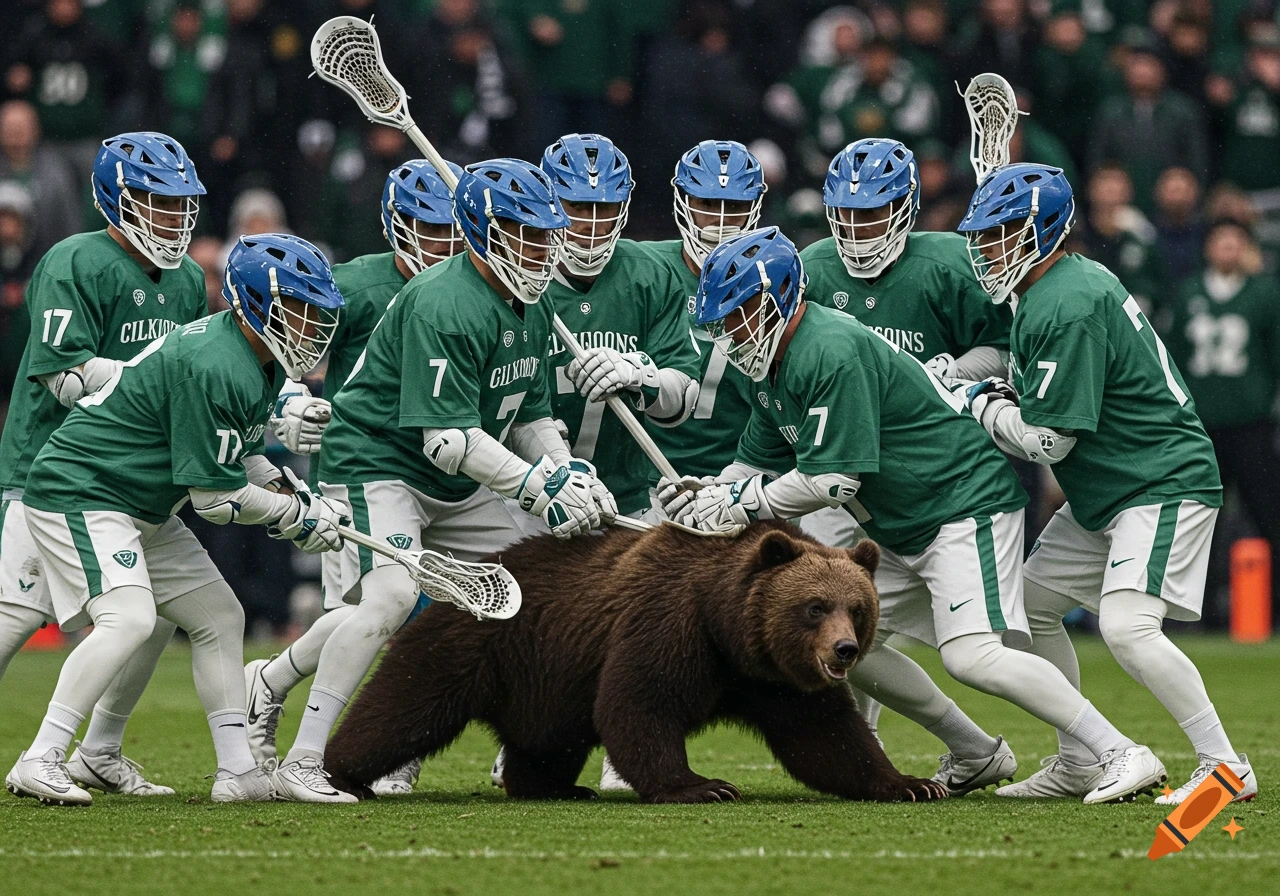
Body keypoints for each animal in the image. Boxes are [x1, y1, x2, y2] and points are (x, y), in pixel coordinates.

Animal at [325, 521, 947, 804]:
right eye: (814, 606)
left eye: (857, 608)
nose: (843, 649)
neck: (729, 630)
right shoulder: (669, 622)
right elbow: (639, 702)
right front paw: (703, 786)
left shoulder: (773, 680)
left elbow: (827, 735)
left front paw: (911, 783)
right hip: (473, 645)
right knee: (403, 708)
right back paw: (343, 773)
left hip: (549, 679)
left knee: (548, 739)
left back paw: (556, 786)